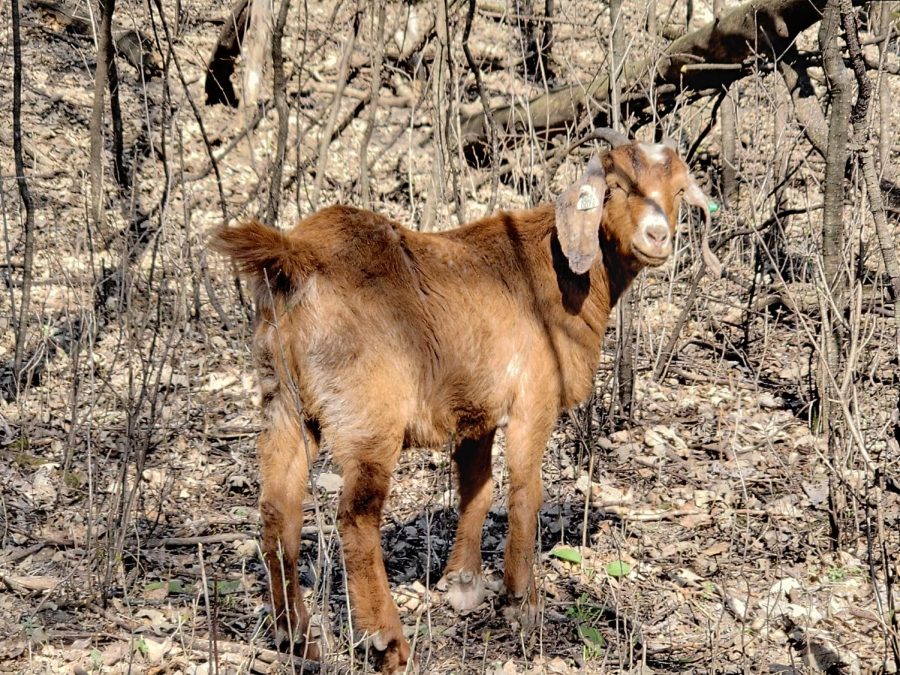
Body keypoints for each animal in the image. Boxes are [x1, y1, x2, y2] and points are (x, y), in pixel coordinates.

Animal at [211, 129, 716, 672]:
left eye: (679, 191)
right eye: (617, 187)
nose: (657, 237)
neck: (560, 272)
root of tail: (297, 256)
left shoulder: (477, 409)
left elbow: (478, 486)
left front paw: (463, 583)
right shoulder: (532, 398)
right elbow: (524, 492)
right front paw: (520, 603)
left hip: (283, 401)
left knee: (276, 510)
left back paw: (297, 636)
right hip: (367, 412)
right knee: (356, 517)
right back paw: (387, 642)